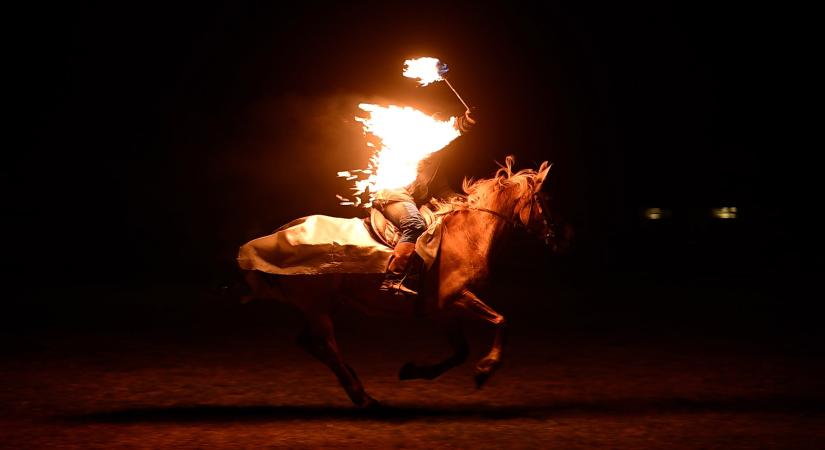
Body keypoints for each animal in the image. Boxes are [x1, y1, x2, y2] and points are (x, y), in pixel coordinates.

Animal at [241, 157, 556, 408]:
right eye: (543, 202)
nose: (553, 235)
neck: (465, 236)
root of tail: (282, 233)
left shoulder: (443, 310)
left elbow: (460, 352)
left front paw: (412, 371)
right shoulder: (454, 298)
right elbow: (501, 321)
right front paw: (485, 369)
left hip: (322, 306)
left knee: (309, 343)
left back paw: (356, 384)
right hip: (317, 308)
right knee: (329, 348)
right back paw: (362, 396)